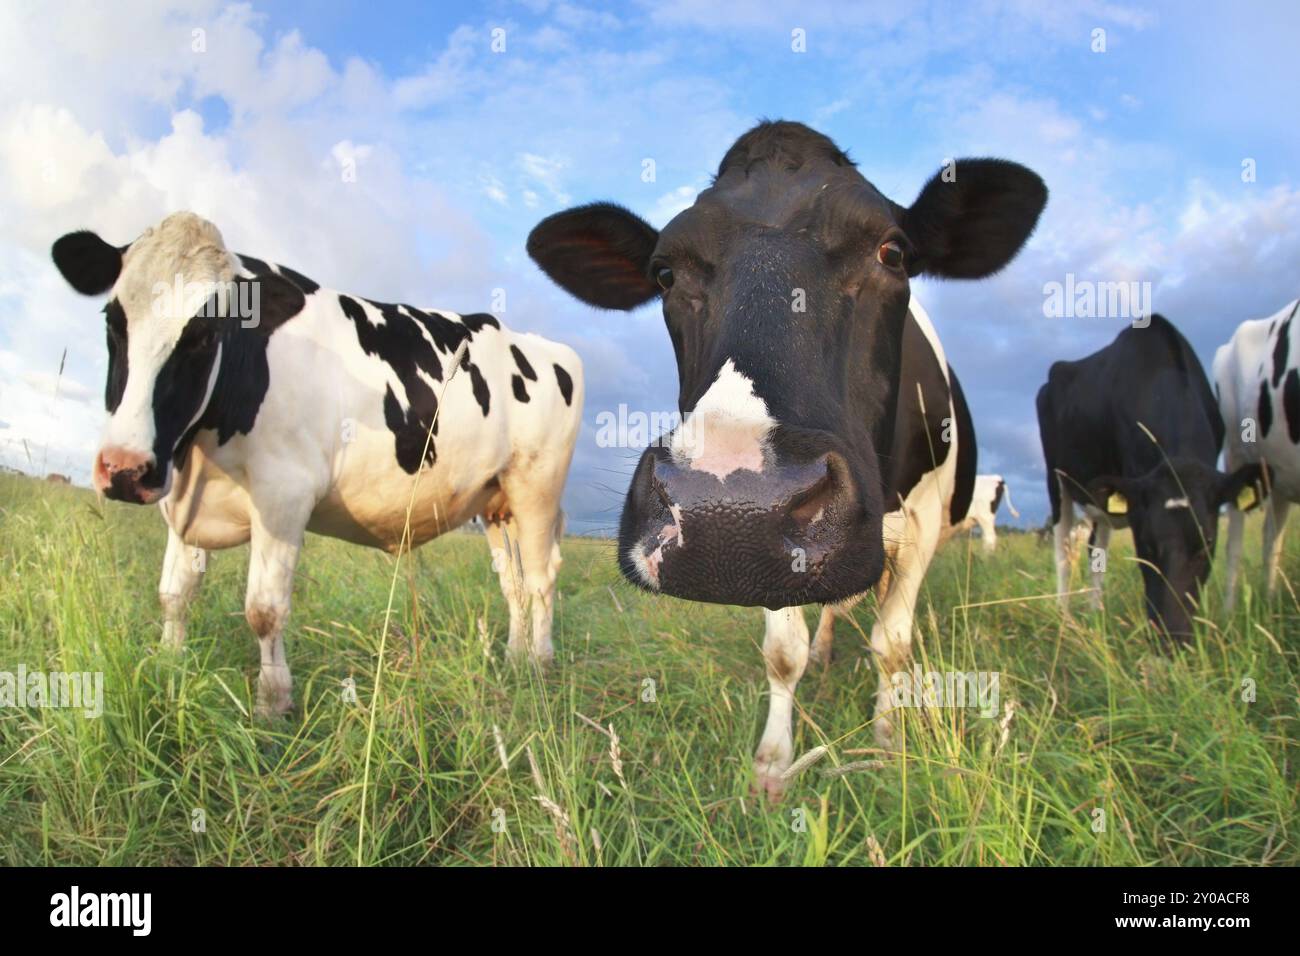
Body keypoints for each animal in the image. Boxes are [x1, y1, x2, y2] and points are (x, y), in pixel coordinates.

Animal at [52, 212, 583, 715]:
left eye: (204, 333)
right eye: (112, 319)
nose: (125, 469)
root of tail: (541, 344)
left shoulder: (284, 493)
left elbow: (264, 609)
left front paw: (272, 704)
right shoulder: (185, 504)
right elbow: (174, 595)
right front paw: (170, 664)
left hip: (537, 488)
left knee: (540, 579)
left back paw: (540, 664)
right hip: (497, 502)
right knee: (513, 583)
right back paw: (514, 659)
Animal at [526, 120, 1046, 795]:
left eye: (893, 252)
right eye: (664, 273)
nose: (727, 507)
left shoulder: (926, 516)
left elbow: (892, 643)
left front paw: (888, 739)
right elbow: (782, 654)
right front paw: (773, 763)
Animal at [1036, 313, 1267, 640]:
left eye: (1207, 542)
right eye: (1144, 543)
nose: (1171, 637)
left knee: (1096, 549)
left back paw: (1096, 614)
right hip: (1056, 480)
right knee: (1063, 548)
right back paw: (1063, 617)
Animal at [1214, 299, 1298, 609]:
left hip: (1281, 474)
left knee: (1271, 539)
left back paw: (1271, 605)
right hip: (1235, 455)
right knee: (1235, 543)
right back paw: (1228, 611)